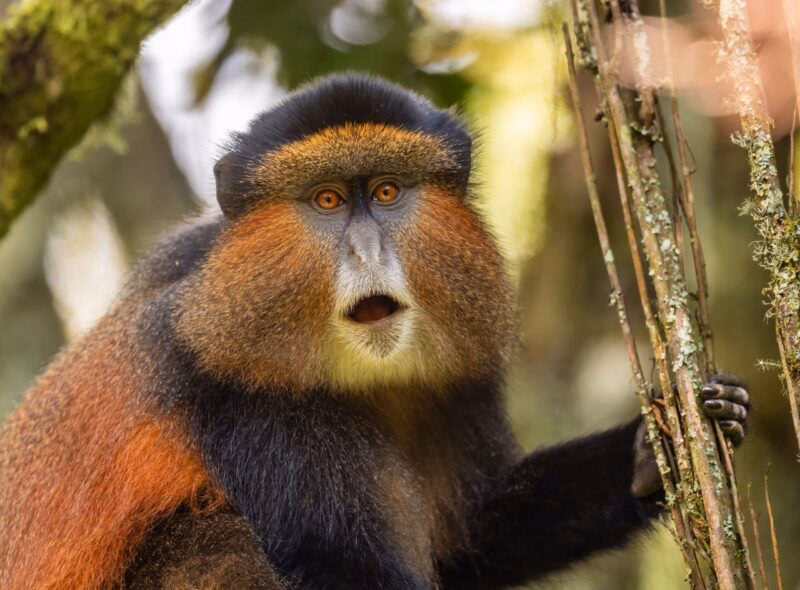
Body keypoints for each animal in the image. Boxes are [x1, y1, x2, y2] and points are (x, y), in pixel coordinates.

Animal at [0, 73, 750, 590]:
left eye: (387, 191)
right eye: (328, 200)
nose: (365, 252)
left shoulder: (461, 376)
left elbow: (476, 535)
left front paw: (658, 448)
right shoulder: (236, 390)